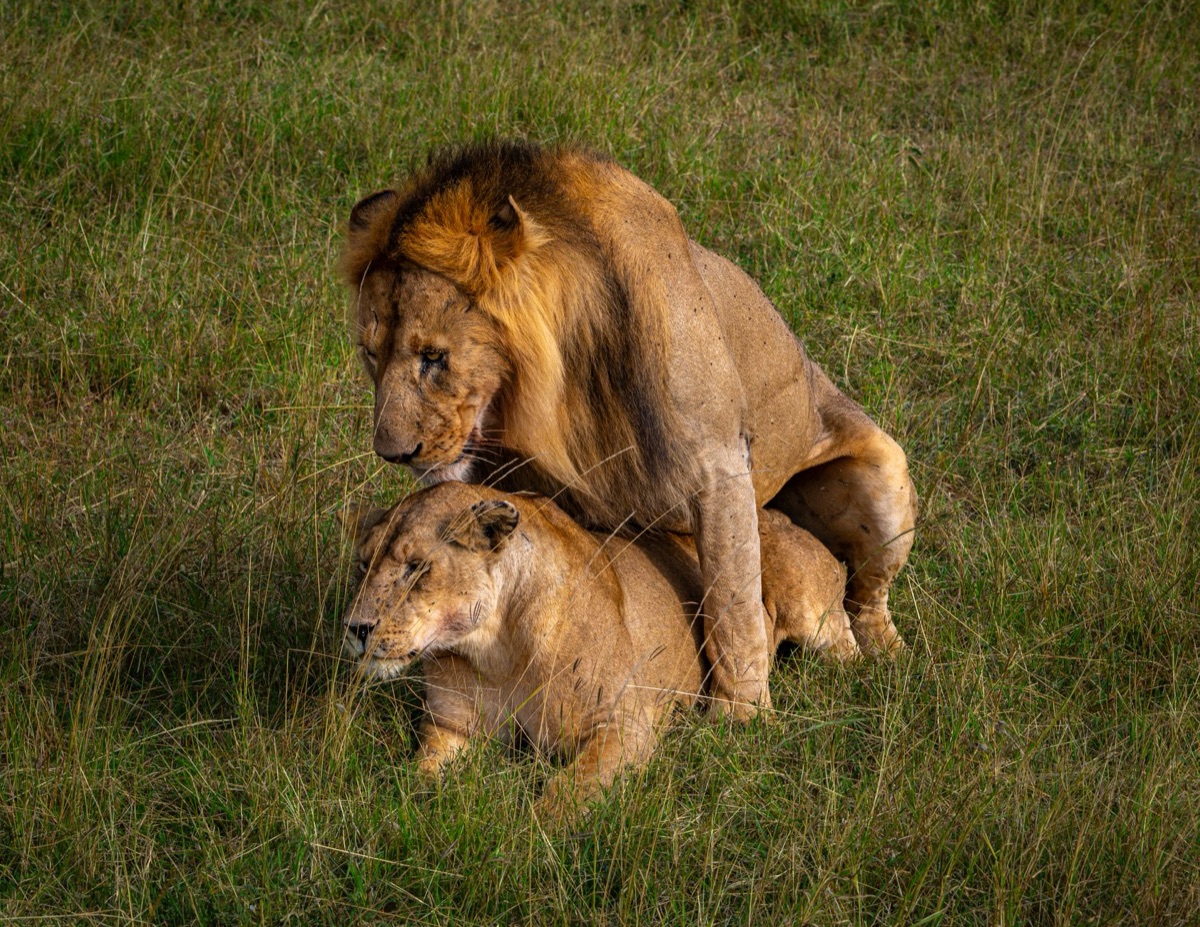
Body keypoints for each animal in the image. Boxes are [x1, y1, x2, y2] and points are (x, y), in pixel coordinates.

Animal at [341, 140, 916, 719]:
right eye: (370, 354)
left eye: (434, 357)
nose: (393, 453)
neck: (563, 386)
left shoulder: (719, 467)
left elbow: (732, 605)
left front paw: (739, 718)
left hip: (885, 478)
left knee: (863, 599)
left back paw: (886, 660)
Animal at [341, 482, 858, 816]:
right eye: (363, 565)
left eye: (416, 568)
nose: (355, 628)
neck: (494, 648)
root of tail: (777, 513)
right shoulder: (451, 727)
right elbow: (418, 775)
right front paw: (404, 807)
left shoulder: (624, 724)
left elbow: (569, 790)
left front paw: (528, 838)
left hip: (809, 610)